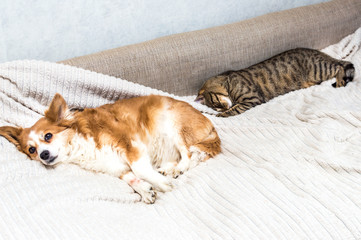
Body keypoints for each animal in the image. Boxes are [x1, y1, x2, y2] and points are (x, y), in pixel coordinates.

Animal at [0, 93, 221, 202]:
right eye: (31, 150)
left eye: (48, 136)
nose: (44, 155)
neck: (79, 145)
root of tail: (209, 123)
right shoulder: (111, 164)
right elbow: (130, 176)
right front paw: (145, 190)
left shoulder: (130, 143)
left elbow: (139, 169)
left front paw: (161, 183)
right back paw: (169, 168)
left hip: (173, 125)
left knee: (191, 154)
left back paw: (176, 169)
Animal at [195, 47, 352, 117]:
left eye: (215, 104)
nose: (223, 108)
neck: (227, 81)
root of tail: (316, 51)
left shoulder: (251, 98)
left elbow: (235, 109)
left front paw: (222, 115)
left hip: (318, 69)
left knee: (340, 66)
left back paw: (340, 82)